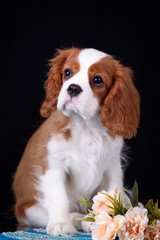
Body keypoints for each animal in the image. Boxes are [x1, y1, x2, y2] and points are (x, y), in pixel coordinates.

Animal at [12, 47, 140, 235]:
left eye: (97, 80)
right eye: (67, 73)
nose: (73, 88)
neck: (85, 126)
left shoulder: (112, 165)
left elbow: (112, 195)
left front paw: (112, 221)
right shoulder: (53, 165)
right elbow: (59, 198)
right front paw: (60, 224)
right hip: (29, 210)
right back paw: (85, 222)